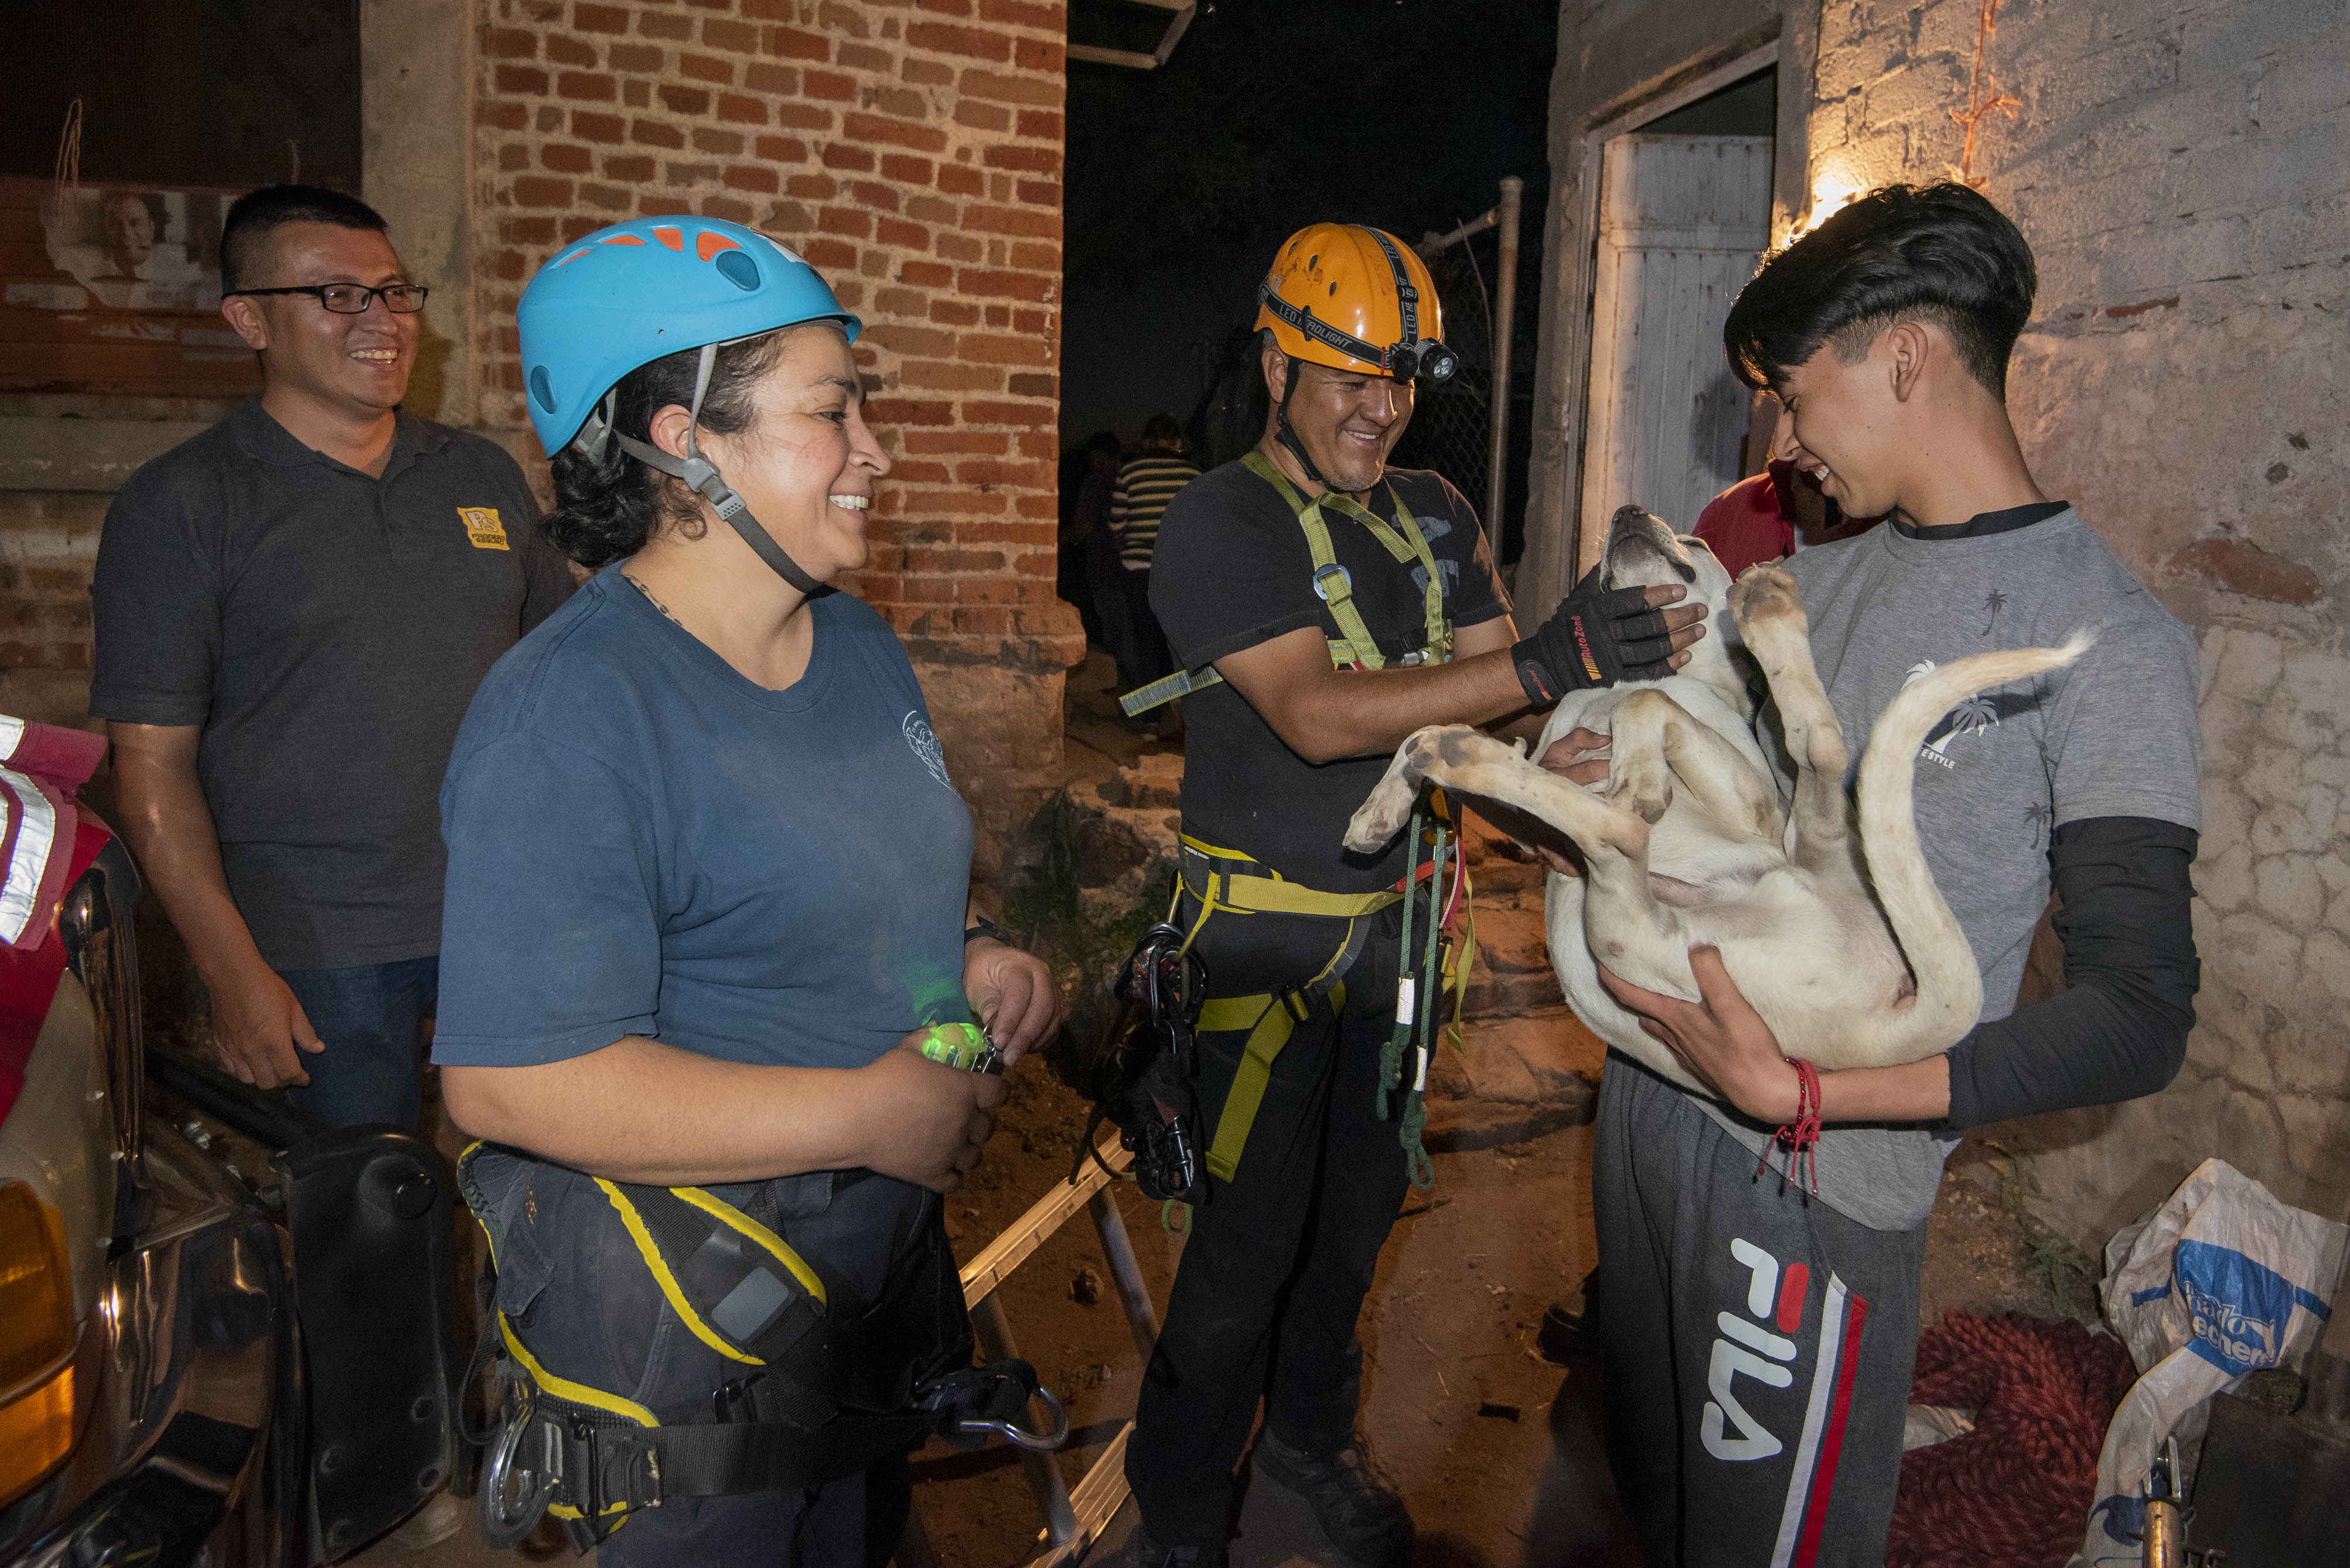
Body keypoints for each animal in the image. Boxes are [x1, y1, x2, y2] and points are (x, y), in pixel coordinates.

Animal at [1335, 510, 2086, 1100]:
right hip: (1802, 849)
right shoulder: (1543, 792)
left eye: (1695, 539)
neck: (1635, 671)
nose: (1626, 510)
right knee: (1819, 745)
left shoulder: (1753, 802)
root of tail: (1885, 1026)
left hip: (1627, 930)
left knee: (1623, 835)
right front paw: (1377, 813)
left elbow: (1646, 708)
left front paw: (1639, 775)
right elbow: (1412, 743)